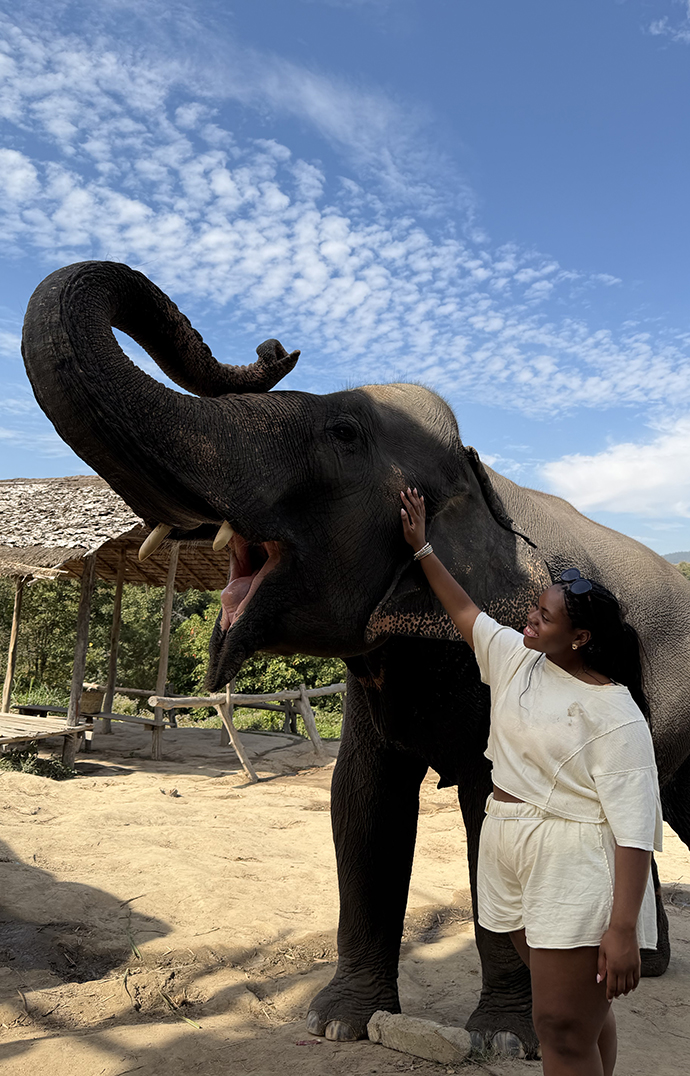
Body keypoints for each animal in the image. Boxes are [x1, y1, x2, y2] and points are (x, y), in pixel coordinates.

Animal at [22, 261, 690, 1058]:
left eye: (340, 433)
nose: (274, 345)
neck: (483, 475)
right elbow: (362, 802)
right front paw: (339, 1022)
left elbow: (488, 811)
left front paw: (505, 1040)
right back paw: (645, 967)